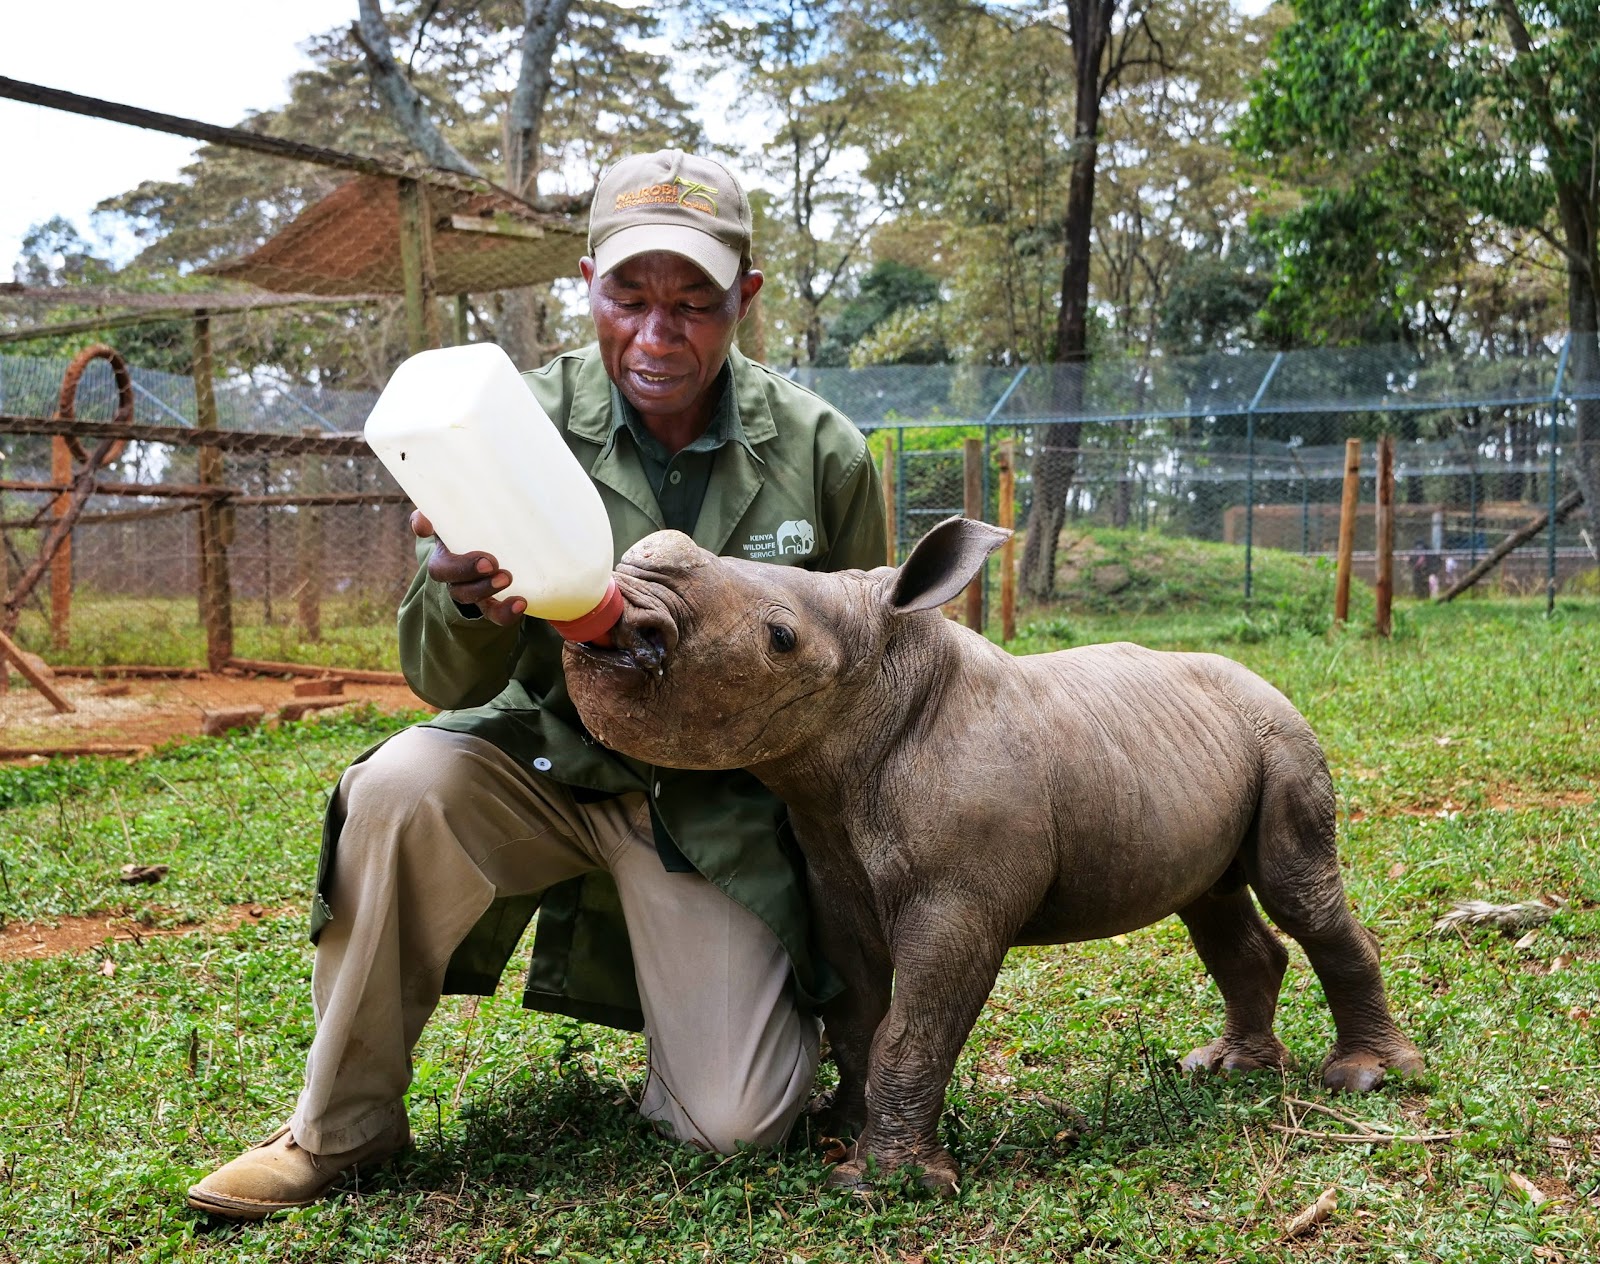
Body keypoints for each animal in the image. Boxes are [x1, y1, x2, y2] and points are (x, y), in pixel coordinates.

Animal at [563, 517, 1424, 1194]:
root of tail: (1265, 683)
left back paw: (1366, 1077)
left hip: (1284, 735)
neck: (874, 697)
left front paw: (886, 1184)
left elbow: (914, 1024)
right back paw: (1227, 1069)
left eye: (781, 638)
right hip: (1202, 745)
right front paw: (836, 1131)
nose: (629, 604)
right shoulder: (833, 876)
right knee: (1209, 901)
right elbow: (858, 1010)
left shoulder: (960, 902)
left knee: (1295, 890)